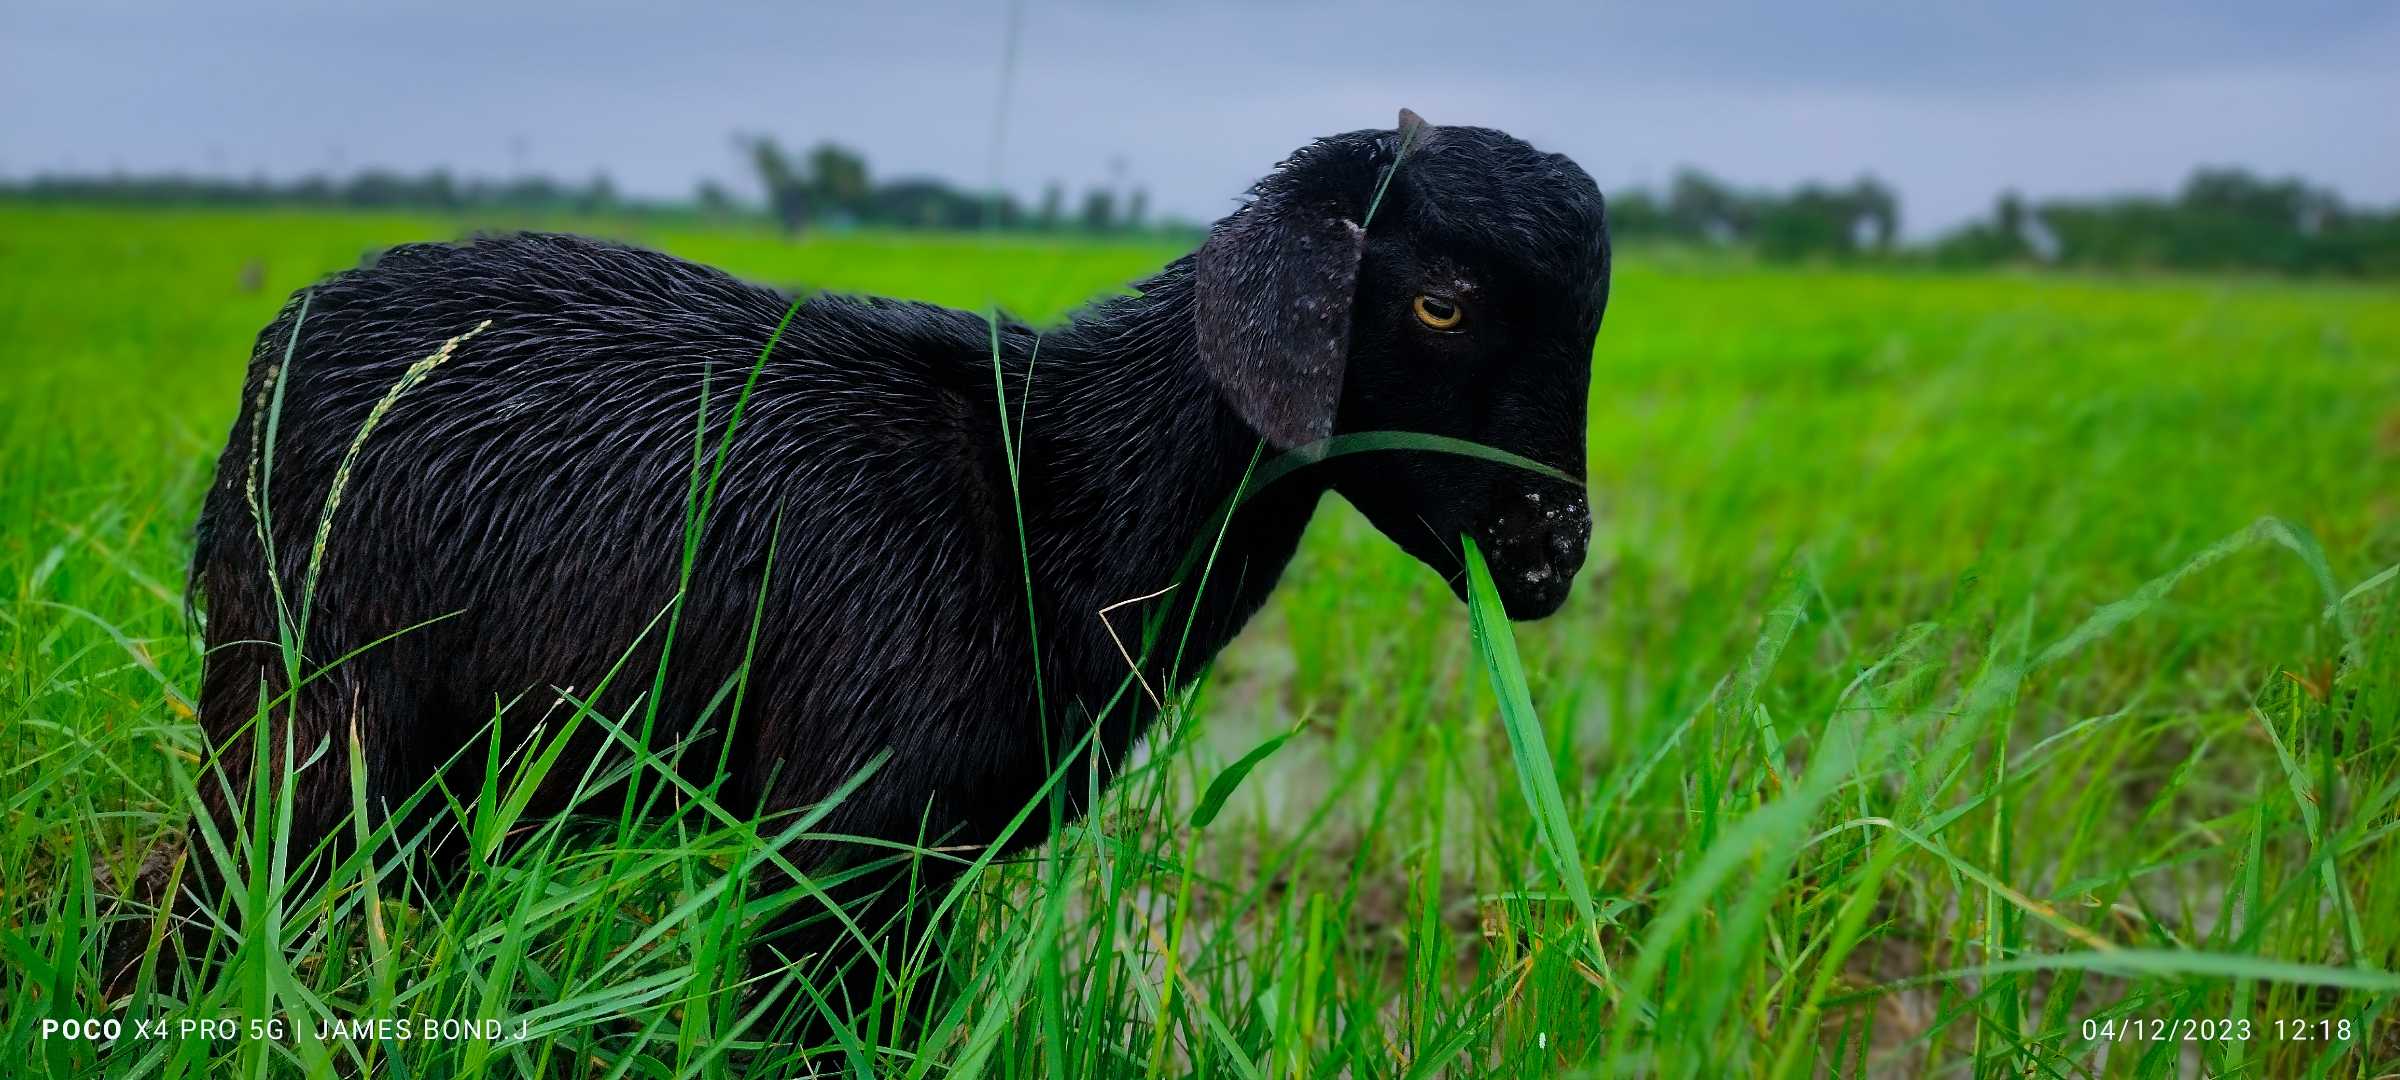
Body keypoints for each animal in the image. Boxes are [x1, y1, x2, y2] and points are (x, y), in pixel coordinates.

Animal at [116, 109, 1609, 1025]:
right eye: (1442, 304)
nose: (1551, 553)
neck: (1053, 483)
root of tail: (283, 344)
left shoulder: (926, 856)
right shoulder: (844, 833)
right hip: (314, 700)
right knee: (208, 896)